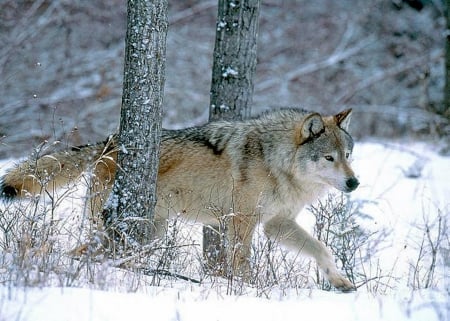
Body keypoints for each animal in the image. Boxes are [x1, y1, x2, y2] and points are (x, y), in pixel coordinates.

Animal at [0, 107, 358, 290]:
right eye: (329, 158)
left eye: (349, 155)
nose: (354, 182)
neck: (277, 162)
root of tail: (109, 142)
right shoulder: (242, 223)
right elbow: (242, 264)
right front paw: (249, 291)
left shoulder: (276, 224)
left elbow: (322, 249)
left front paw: (340, 281)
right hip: (127, 232)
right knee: (83, 252)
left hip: (148, 234)